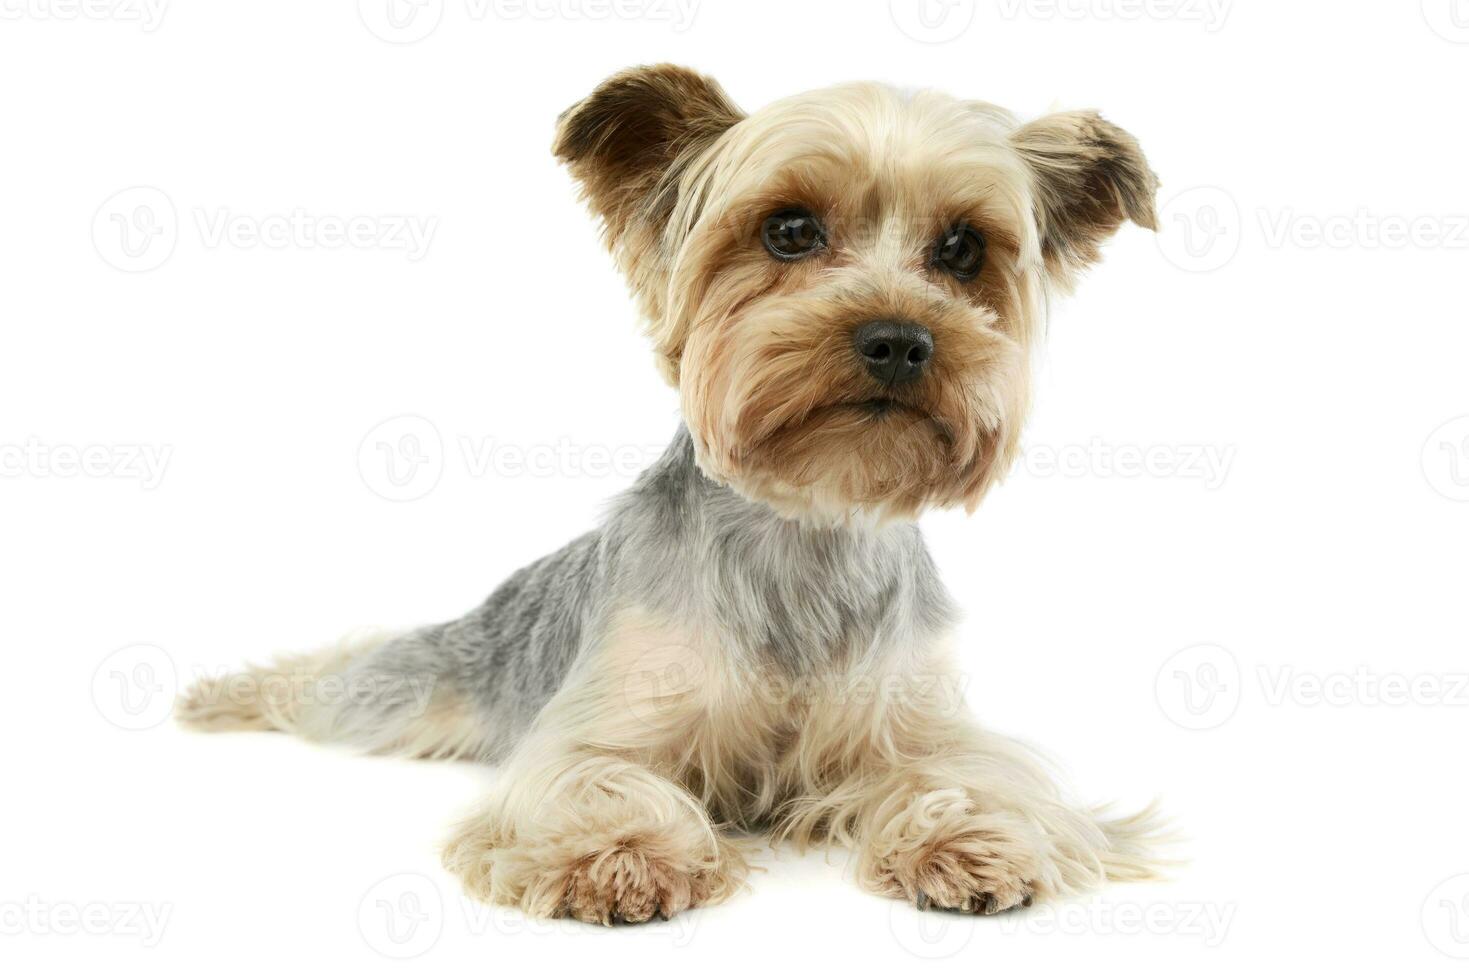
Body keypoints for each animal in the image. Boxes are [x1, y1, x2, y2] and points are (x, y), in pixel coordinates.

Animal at [183, 65, 1163, 922]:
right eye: (788, 230)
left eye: (961, 248)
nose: (897, 338)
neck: (806, 517)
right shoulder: (600, 723)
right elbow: (595, 777)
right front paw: (619, 856)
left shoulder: (914, 722)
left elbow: (972, 774)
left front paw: (970, 842)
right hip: (417, 686)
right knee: (332, 678)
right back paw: (225, 694)